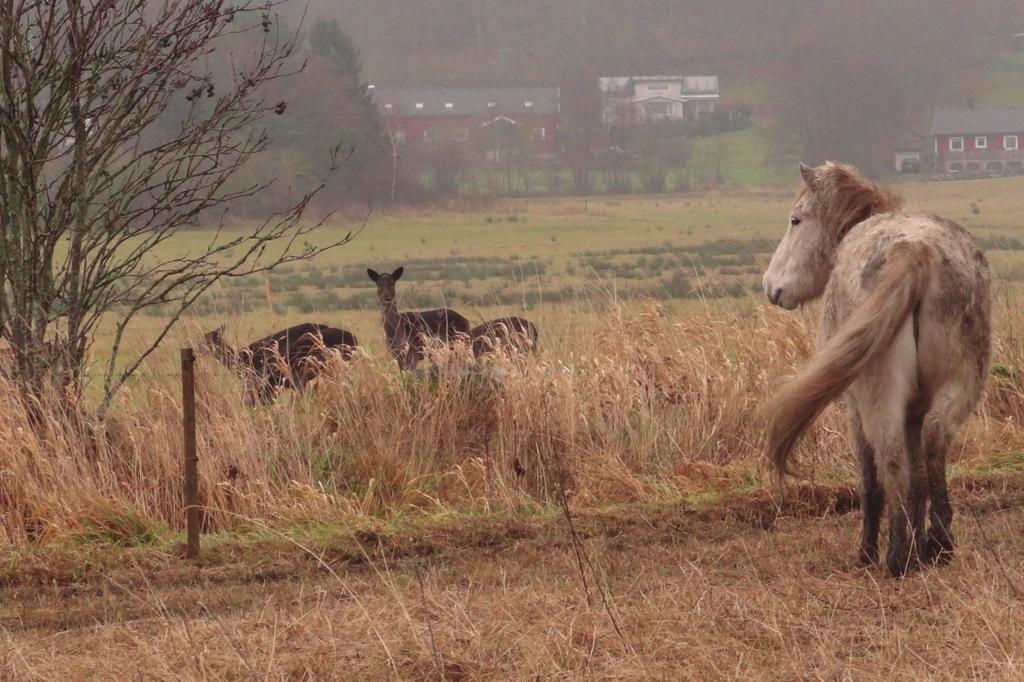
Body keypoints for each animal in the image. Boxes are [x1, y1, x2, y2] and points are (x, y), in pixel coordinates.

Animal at [761, 161, 991, 577]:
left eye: (795, 220)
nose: (771, 287)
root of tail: (915, 252)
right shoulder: (914, 411)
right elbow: (917, 479)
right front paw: (921, 541)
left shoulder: (855, 409)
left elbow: (871, 480)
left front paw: (870, 549)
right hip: (959, 386)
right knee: (933, 444)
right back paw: (938, 543)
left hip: (879, 397)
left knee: (890, 458)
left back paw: (895, 555)